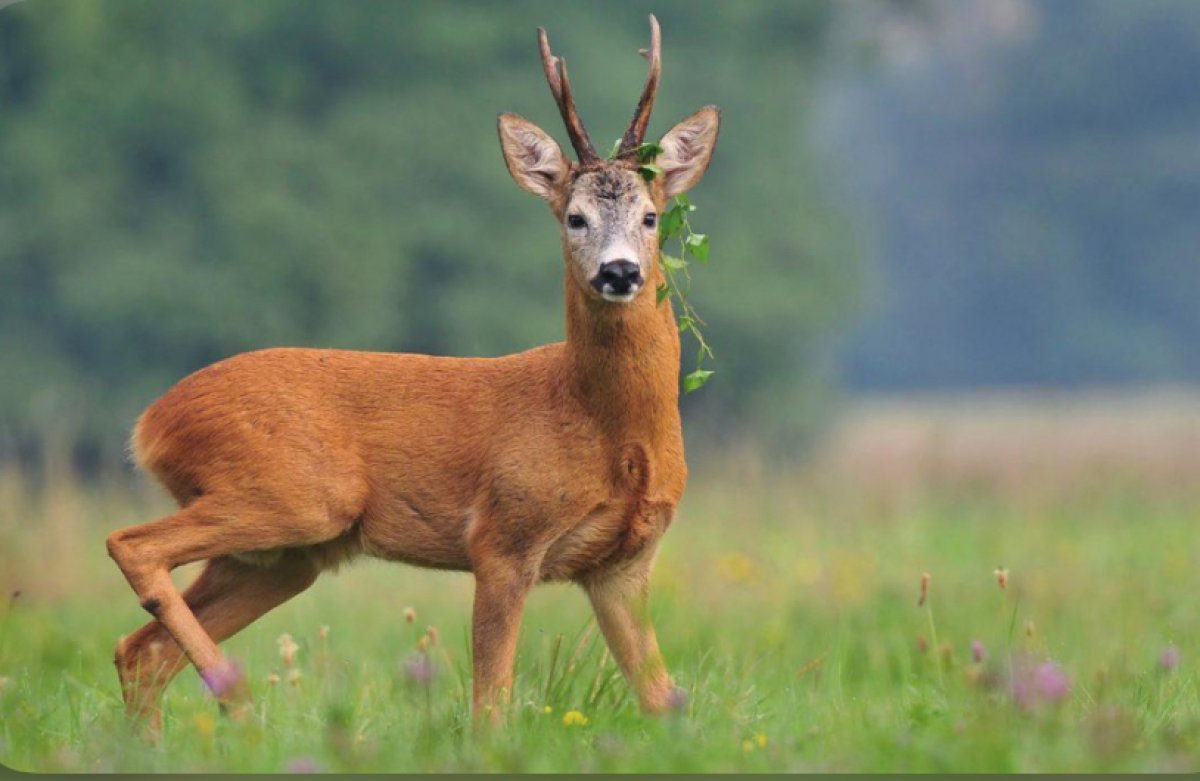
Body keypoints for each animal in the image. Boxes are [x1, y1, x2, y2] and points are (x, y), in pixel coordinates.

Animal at [103, 13, 715, 734]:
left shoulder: (623, 564)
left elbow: (661, 697)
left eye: (650, 216)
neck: (607, 427)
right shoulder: (502, 537)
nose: (619, 272)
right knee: (131, 547)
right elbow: (491, 701)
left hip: (284, 554)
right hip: (295, 494)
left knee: (140, 650)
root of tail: (150, 422)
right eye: (575, 217)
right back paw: (239, 698)